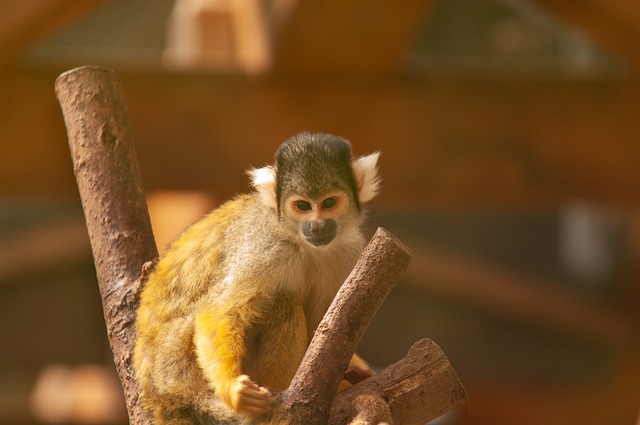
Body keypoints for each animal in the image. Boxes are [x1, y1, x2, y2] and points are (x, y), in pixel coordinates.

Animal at [134, 131, 380, 422]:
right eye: (302, 206)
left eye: (329, 203)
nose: (316, 225)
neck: (298, 240)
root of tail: (158, 398)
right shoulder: (265, 246)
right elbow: (218, 311)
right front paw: (233, 389)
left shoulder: (347, 251)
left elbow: (323, 330)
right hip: (175, 366)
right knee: (280, 301)